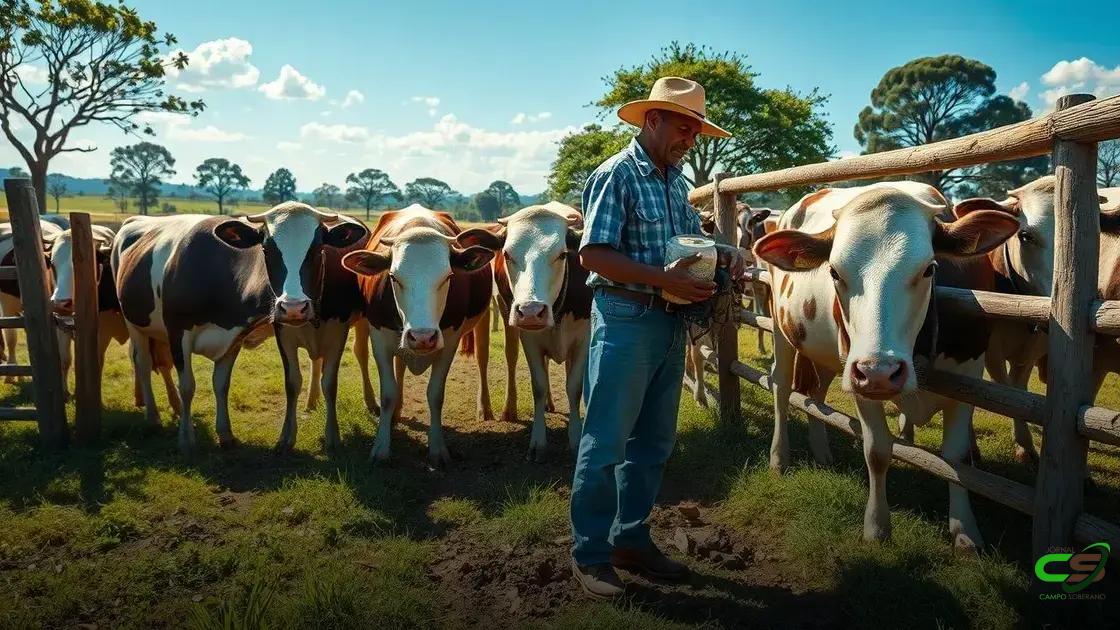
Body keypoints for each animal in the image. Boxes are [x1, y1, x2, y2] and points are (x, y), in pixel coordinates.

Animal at [112, 204, 368, 455]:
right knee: (143, 363)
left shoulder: (233, 337)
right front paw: (186, 440)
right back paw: (153, 416)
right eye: (266, 250)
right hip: (133, 322)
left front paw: (225, 435)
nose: (293, 307)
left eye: (317, 249)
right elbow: (187, 386)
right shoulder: (178, 331)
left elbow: (221, 384)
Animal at [341, 204, 498, 466]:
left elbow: (435, 395)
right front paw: (381, 446)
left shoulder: (449, 342)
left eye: (448, 277)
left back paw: (484, 407)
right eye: (393, 277)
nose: (423, 337)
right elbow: (388, 393)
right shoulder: (379, 338)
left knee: (482, 359)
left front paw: (437, 448)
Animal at [465, 202, 591, 461]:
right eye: (507, 254)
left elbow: (574, 387)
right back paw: (499, 409)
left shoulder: (583, 337)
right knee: (501, 357)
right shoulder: (530, 338)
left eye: (562, 254)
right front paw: (538, 443)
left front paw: (576, 438)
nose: (531, 311)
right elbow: (539, 386)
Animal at [753, 182, 1019, 550]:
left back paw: (821, 451)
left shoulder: (969, 376)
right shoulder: (860, 379)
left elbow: (957, 458)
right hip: (784, 331)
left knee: (816, 394)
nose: (879, 371)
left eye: (929, 268)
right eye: (834, 272)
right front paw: (877, 526)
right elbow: (878, 451)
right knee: (780, 387)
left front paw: (965, 530)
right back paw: (779, 458)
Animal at [947, 176, 1120, 464]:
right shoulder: (991, 351)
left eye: (1098, 234)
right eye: (1026, 235)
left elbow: (1018, 389)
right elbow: (991, 389)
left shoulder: (1031, 352)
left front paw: (1024, 444)